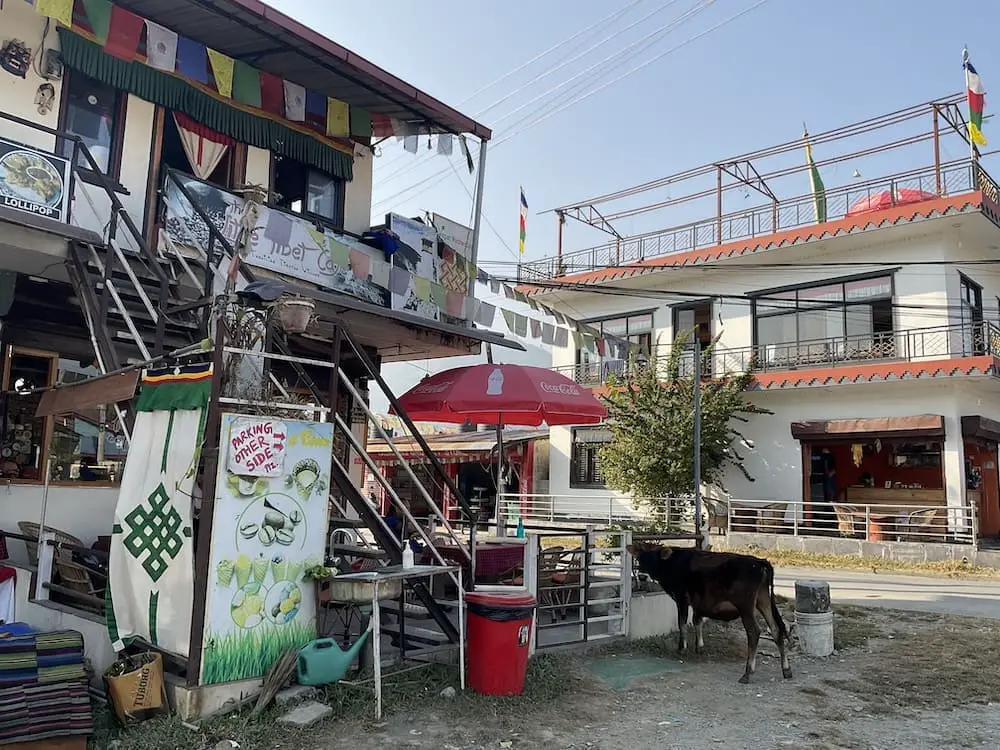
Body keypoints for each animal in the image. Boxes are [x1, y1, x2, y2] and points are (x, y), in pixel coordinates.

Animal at [628, 544, 792, 684]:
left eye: (653, 559)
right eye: (639, 559)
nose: (642, 576)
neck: (672, 562)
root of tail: (759, 562)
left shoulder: (681, 597)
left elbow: (682, 623)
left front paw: (682, 648)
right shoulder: (698, 603)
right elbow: (697, 621)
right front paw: (699, 647)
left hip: (746, 606)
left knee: (754, 631)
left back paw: (747, 673)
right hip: (763, 600)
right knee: (776, 629)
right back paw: (786, 670)